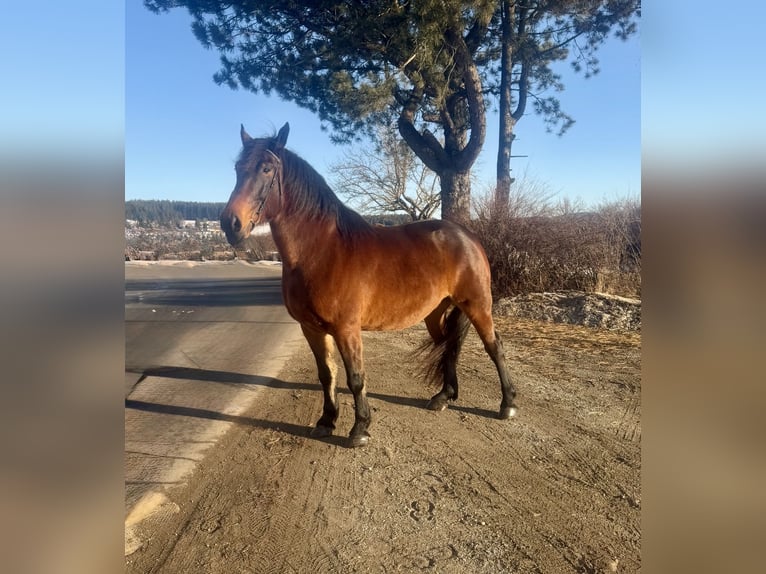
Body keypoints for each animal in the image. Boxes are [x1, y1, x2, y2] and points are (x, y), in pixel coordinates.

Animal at [220, 122, 518, 447]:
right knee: (450, 346)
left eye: (266, 169)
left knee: (495, 347)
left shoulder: (346, 328)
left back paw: (507, 404)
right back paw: (443, 397)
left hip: (477, 305)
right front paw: (326, 421)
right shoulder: (311, 328)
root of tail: (468, 236)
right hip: (437, 313)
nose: (230, 224)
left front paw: (360, 428)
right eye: (236, 168)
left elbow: (355, 377)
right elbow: (327, 374)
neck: (322, 251)